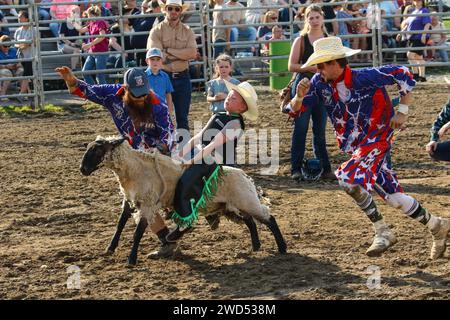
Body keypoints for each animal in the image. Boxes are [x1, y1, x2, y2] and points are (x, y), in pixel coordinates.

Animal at [79, 135, 286, 264]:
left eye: (97, 150)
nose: (83, 169)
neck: (134, 170)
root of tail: (244, 175)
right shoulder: (130, 201)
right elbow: (119, 225)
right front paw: (110, 248)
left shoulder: (147, 205)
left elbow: (137, 232)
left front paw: (131, 259)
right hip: (230, 206)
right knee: (250, 221)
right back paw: (256, 247)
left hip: (246, 201)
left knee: (269, 219)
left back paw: (282, 248)